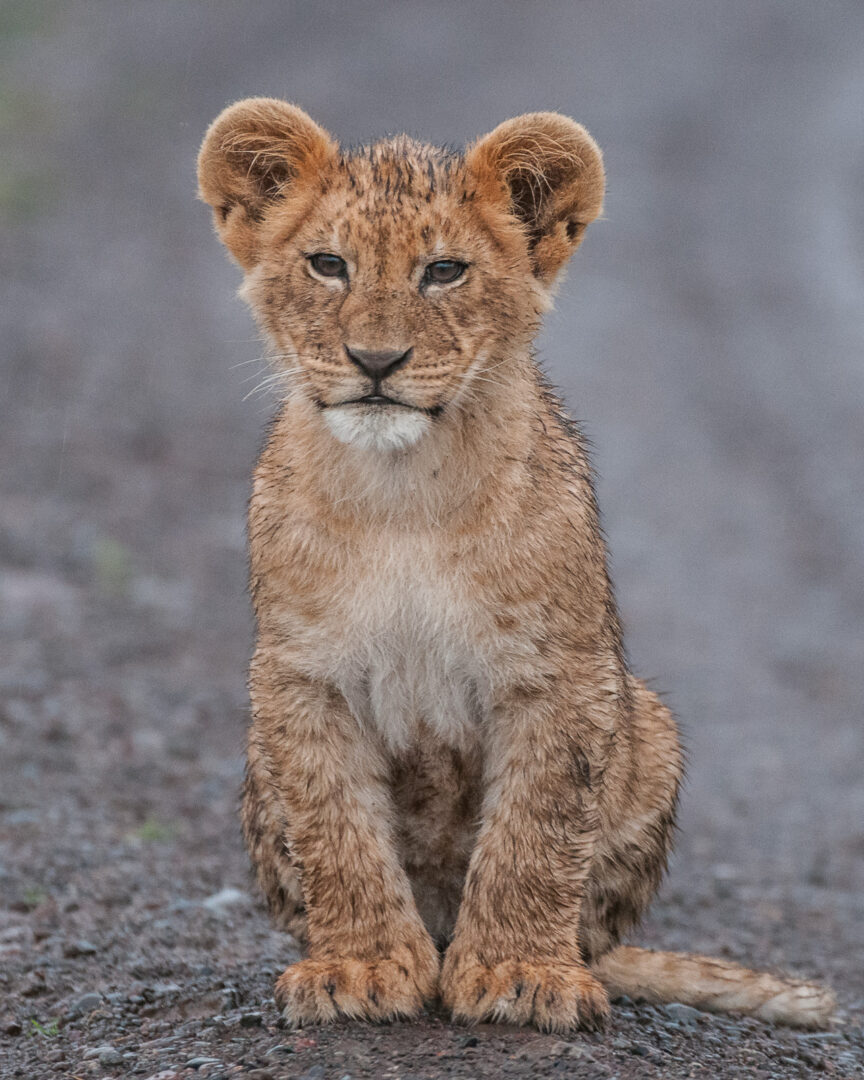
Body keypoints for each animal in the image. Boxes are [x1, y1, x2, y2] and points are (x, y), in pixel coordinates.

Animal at [196, 99, 835, 1032]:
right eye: (328, 264)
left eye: (444, 271)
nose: (376, 362)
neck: (403, 491)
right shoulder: (300, 675)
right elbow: (336, 827)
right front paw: (361, 965)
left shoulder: (560, 673)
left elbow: (537, 829)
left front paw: (518, 973)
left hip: (648, 722)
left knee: (590, 924)